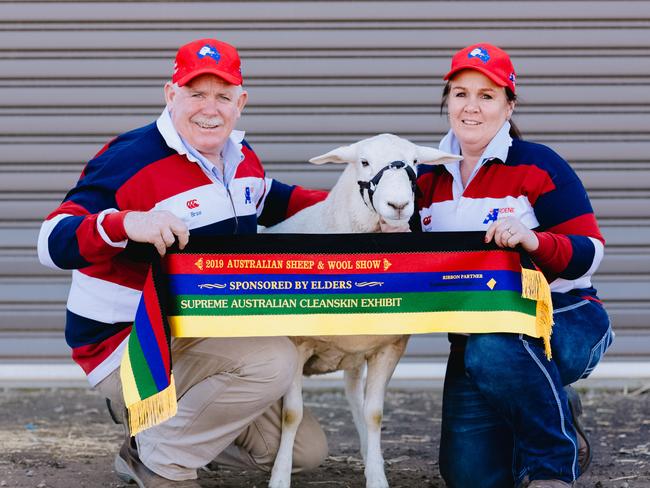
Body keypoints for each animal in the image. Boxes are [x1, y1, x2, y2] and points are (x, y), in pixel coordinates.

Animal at [260, 133, 458, 488]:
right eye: (363, 162)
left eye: (416, 162)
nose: (398, 206)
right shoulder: (297, 344)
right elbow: (292, 414)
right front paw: (279, 478)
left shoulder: (388, 346)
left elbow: (373, 413)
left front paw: (376, 475)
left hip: (353, 352)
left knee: (355, 396)